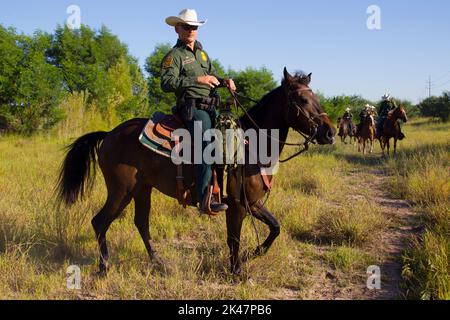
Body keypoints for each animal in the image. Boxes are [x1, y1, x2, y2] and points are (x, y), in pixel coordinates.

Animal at [56, 69, 336, 276]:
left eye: (316, 98)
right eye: (302, 100)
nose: (330, 132)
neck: (251, 145)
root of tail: (109, 134)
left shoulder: (253, 203)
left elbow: (275, 227)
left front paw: (251, 254)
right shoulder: (236, 205)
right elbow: (234, 238)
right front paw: (237, 272)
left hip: (142, 189)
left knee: (141, 223)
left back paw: (158, 262)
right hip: (120, 191)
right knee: (100, 222)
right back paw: (104, 267)